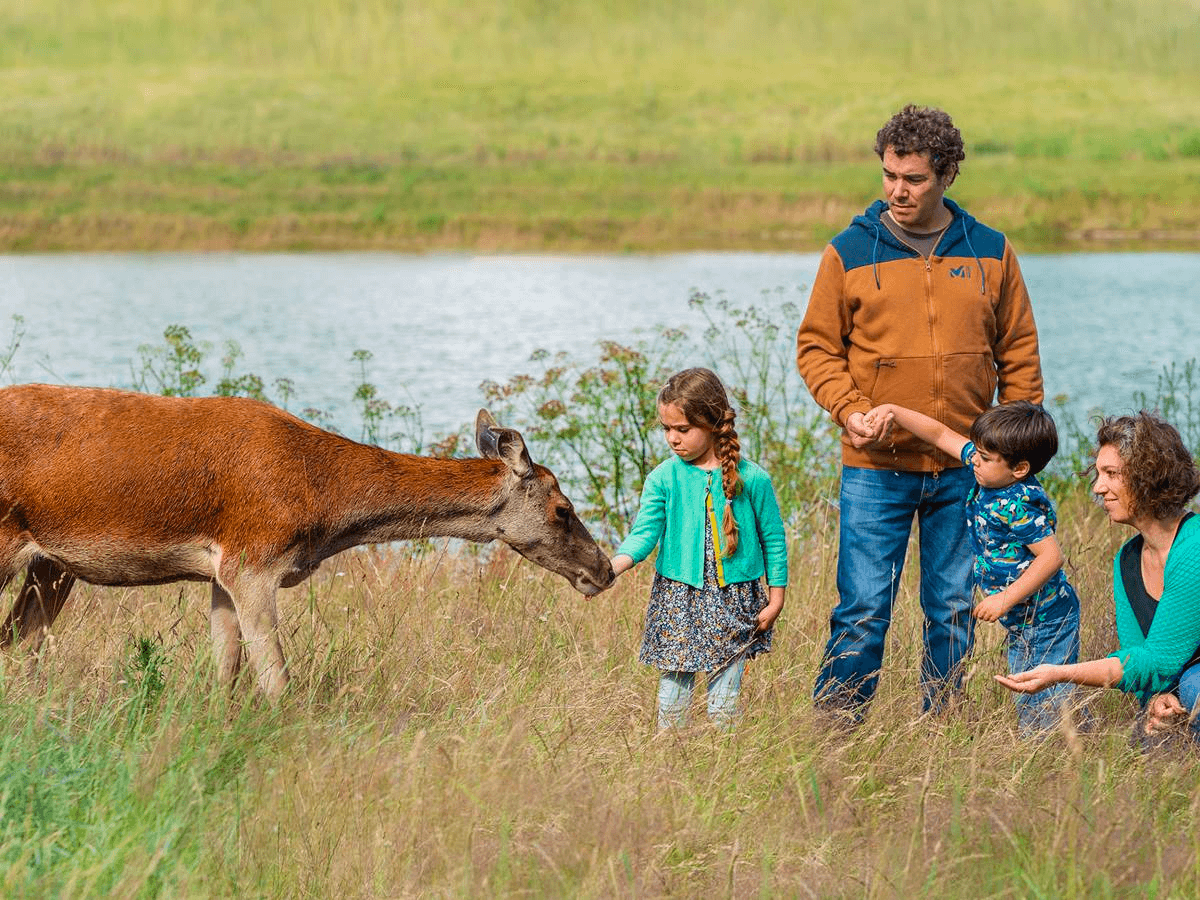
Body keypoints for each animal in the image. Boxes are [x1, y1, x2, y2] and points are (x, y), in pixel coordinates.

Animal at [0, 384, 614, 700]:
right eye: (563, 509)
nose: (604, 569)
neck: (325, 510)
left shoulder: (222, 573)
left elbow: (224, 671)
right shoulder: (253, 560)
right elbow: (277, 681)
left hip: (50, 567)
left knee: (18, 644)